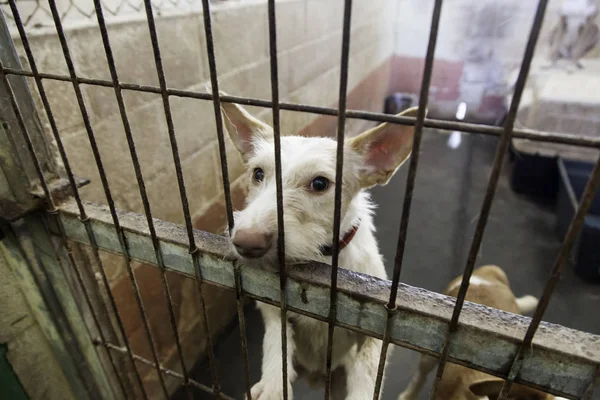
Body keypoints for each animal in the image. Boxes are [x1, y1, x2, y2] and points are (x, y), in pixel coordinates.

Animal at [221, 101, 422, 398]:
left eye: (319, 184)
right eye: (258, 174)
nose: (246, 242)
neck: (322, 259)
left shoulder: (378, 332)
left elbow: (368, 367)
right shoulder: (271, 306)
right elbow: (276, 336)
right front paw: (273, 383)